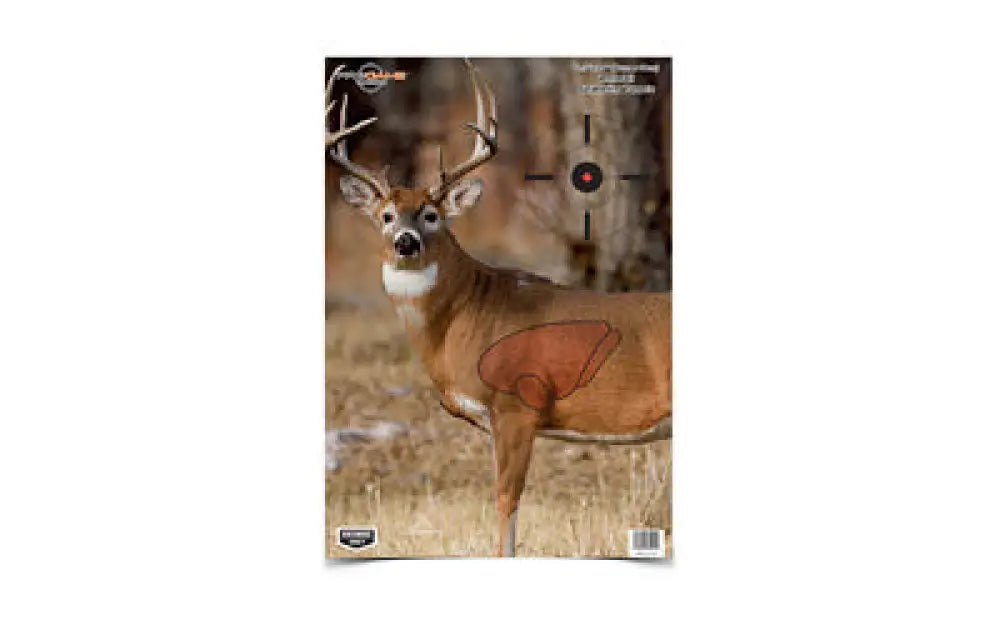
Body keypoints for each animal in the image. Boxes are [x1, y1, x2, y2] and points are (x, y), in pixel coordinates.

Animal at [326, 60, 671, 557]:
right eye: (386, 215)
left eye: (431, 215)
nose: (406, 242)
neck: (465, 318)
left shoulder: (516, 404)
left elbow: (506, 500)